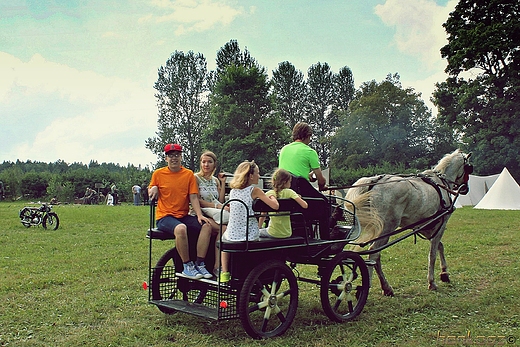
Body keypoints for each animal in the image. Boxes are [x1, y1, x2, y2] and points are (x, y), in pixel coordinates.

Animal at [346, 150, 472, 296]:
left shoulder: (425, 225)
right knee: (373, 253)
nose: (465, 189)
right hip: (387, 228)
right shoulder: (442, 222)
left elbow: (440, 246)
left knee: (376, 256)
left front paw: (444, 273)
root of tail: (376, 182)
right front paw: (432, 282)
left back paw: (386, 288)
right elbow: (433, 253)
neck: (441, 183)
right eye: (469, 167)